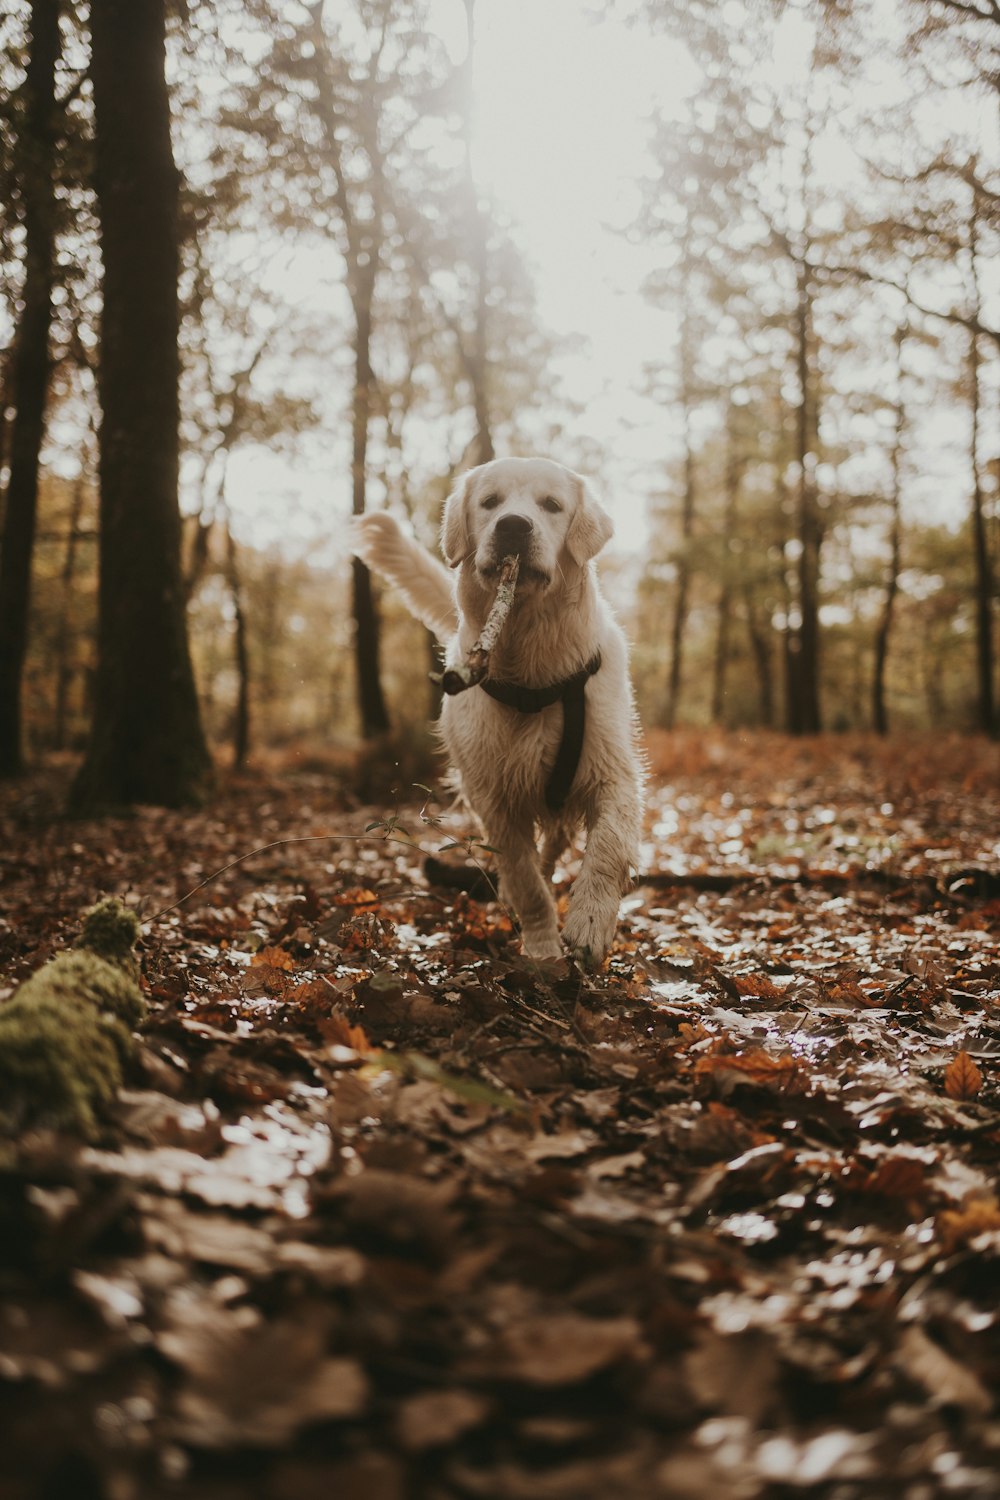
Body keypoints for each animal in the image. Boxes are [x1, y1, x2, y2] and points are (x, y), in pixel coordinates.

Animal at [352, 456, 644, 966]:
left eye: (552, 505)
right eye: (489, 502)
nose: (512, 526)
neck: (534, 674)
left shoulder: (612, 773)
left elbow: (607, 847)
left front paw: (589, 924)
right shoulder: (494, 798)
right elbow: (524, 879)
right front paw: (543, 947)